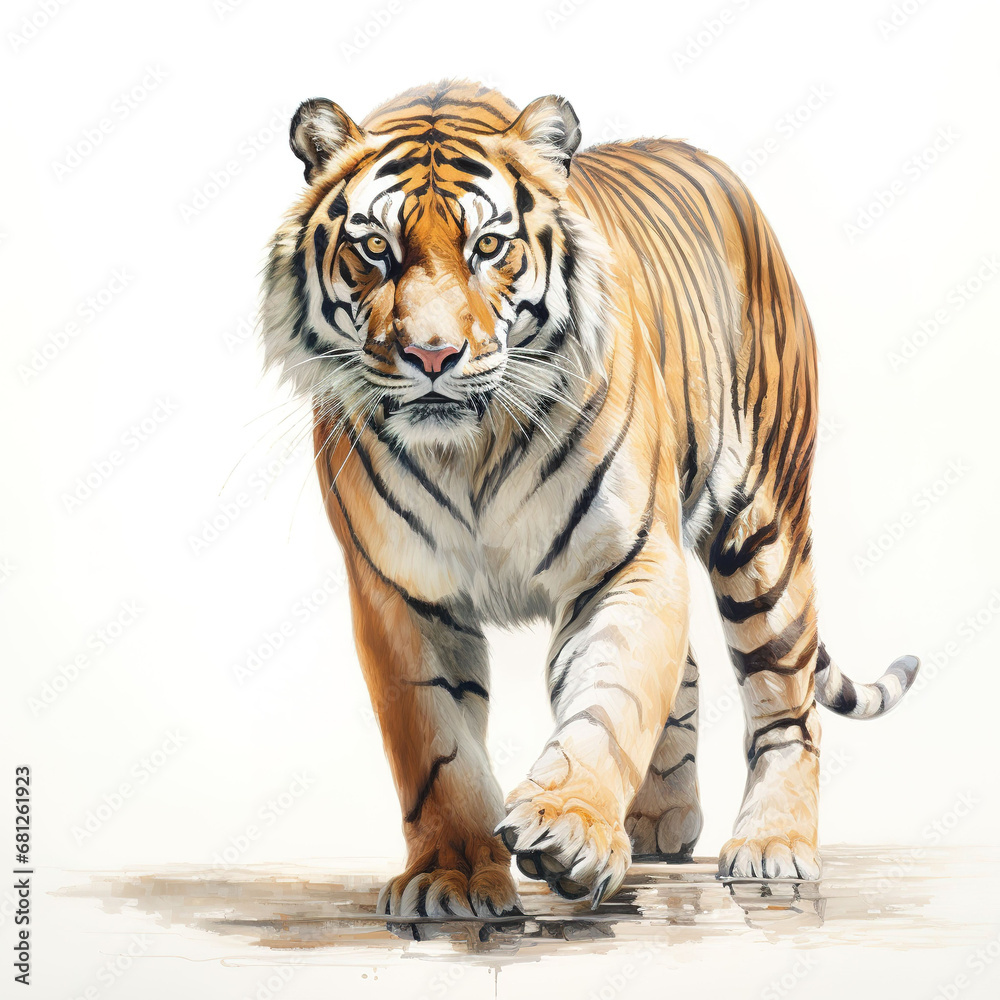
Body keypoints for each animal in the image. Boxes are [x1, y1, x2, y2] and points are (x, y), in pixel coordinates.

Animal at [261, 79, 919, 916]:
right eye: (376, 249)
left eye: (488, 248)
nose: (432, 356)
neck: (469, 451)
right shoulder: (401, 591)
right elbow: (436, 747)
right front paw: (450, 876)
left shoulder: (626, 559)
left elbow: (610, 700)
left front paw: (568, 830)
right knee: (692, 668)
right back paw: (661, 825)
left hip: (763, 526)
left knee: (786, 697)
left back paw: (773, 847)